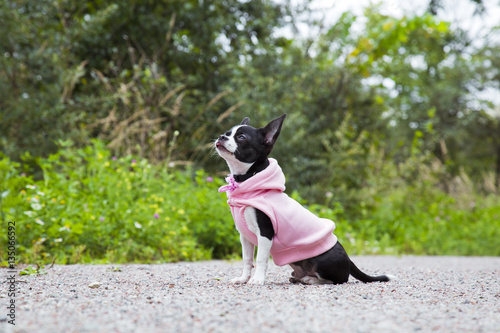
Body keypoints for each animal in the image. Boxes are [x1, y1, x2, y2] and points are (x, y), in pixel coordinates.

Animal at [215, 115, 394, 286]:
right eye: (227, 132)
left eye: (242, 137)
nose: (221, 136)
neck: (247, 178)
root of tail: (349, 260)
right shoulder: (244, 236)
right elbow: (247, 259)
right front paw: (243, 279)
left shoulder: (265, 233)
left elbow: (261, 259)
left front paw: (257, 280)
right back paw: (301, 278)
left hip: (323, 260)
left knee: (339, 279)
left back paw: (312, 280)